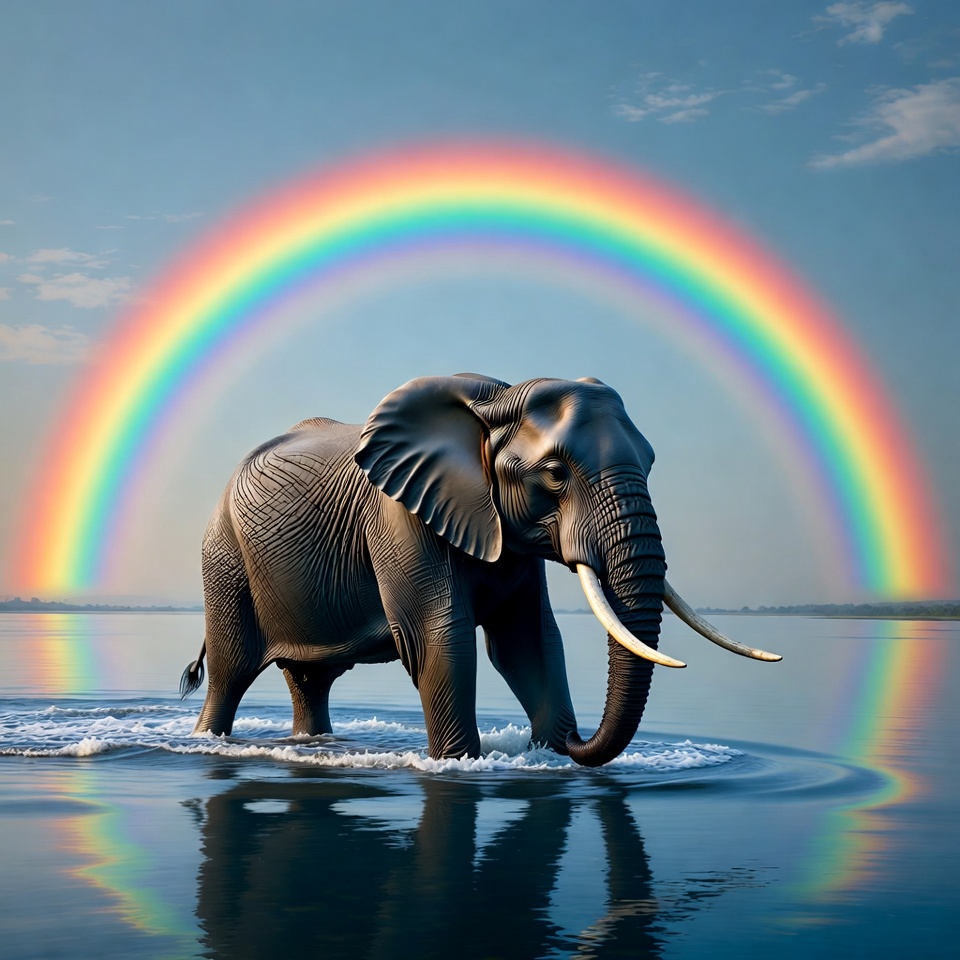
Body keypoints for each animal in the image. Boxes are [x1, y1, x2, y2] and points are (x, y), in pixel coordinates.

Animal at [181, 374, 779, 766]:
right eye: (556, 473)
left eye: (651, 463)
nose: (572, 741)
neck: (493, 402)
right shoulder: (401, 515)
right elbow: (439, 639)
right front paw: (461, 764)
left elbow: (528, 639)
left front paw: (547, 755)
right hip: (224, 557)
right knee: (231, 671)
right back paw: (209, 741)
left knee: (310, 681)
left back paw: (315, 748)